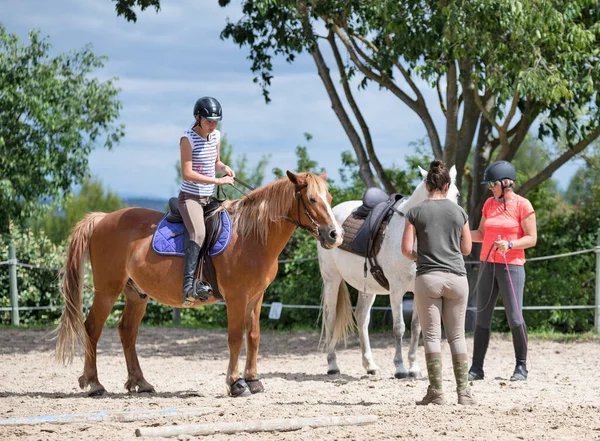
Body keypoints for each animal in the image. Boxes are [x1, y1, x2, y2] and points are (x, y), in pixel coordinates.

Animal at [55, 171, 342, 396]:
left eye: (329, 199)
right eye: (312, 199)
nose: (335, 234)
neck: (250, 236)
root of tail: (102, 218)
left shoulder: (256, 296)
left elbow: (254, 336)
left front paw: (253, 380)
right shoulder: (236, 297)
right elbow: (235, 338)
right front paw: (236, 383)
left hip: (136, 294)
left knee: (127, 331)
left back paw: (140, 382)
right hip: (107, 290)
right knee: (92, 329)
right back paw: (94, 383)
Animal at [318, 165, 460, 378]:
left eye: (457, 194)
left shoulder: (419, 290)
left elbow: (416, 327)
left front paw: (414, 367)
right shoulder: (396, 290)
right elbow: (399, 327)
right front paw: (400, 368)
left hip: (366, 287)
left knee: (361, 317)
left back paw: (370, 365)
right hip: (331, 280)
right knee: (330, 317)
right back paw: (332, 365)